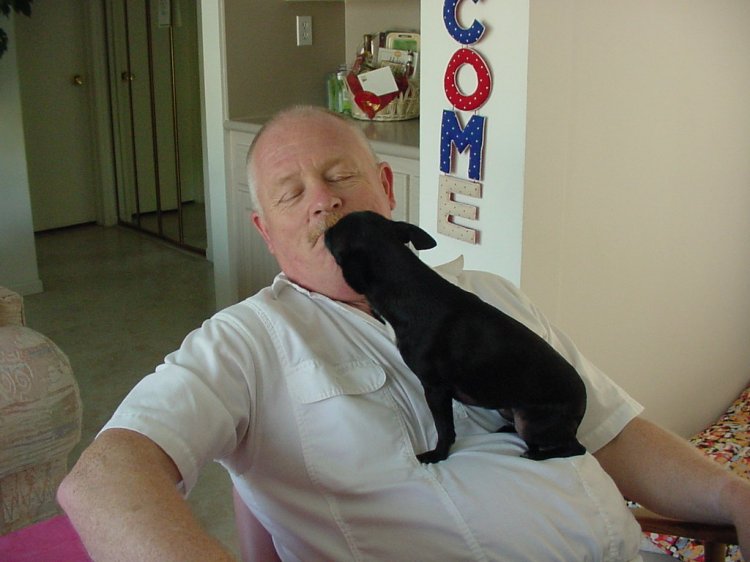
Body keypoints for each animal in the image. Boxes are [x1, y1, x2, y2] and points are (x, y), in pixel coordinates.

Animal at [324, 211, 587, 463]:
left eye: (334, 232)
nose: (325, 229)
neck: (409, 288)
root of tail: (582, 407)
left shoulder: (435, 389)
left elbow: (445, 429)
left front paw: (437, 455)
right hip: (509, 408)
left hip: (530, 421)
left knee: (575, 448)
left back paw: (537, 453)